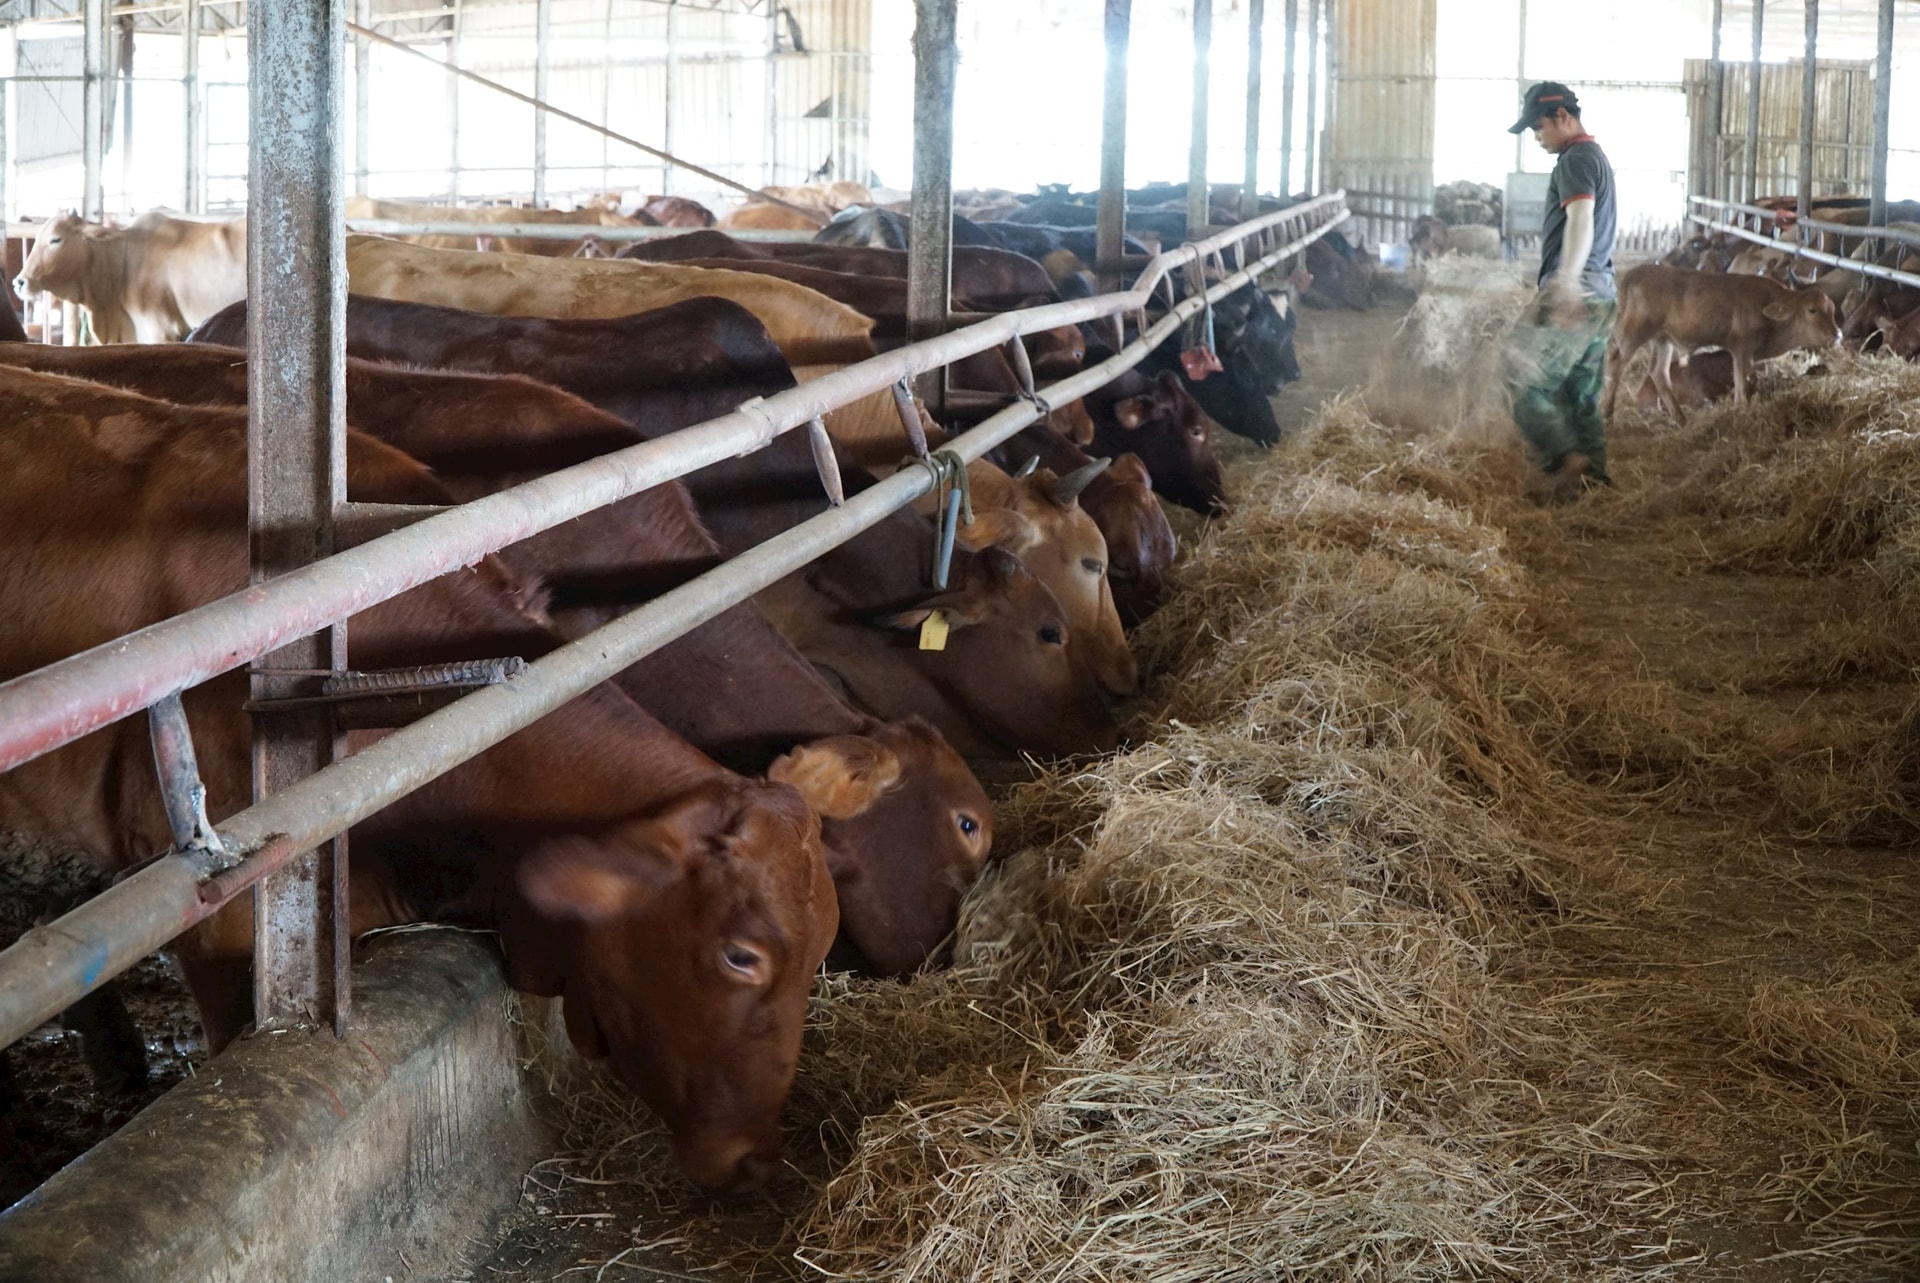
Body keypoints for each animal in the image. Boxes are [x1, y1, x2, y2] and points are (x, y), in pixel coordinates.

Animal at [1589, 263, 1843, 418]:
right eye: (1812, 310)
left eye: (1831, 309)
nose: (1837, 335)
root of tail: (1637, 272)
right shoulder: (1741, 348)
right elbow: (1744, 384)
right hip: (1635, 331)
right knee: (1615, 362)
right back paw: (1607, 413)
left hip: (1662, 339)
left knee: (1659, 373)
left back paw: (1681, 419)